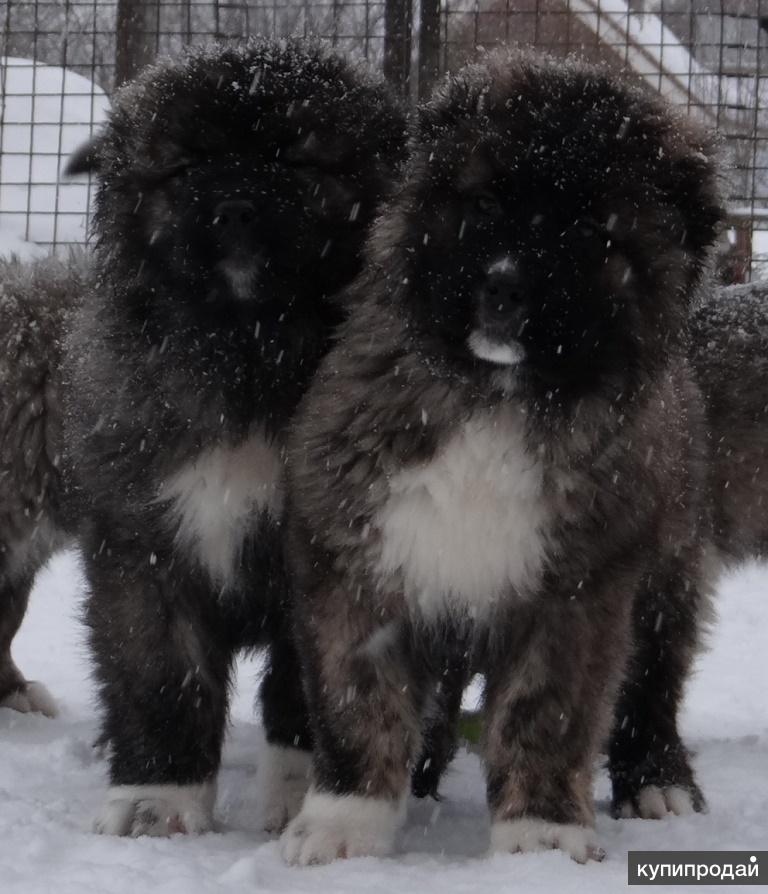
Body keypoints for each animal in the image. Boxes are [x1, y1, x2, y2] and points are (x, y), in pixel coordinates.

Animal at [64, 38, 408, 840]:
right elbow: (160, 680)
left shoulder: (315, 561)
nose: (238, 207)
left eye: (301, 164)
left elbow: (301, 690)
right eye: (188, 167)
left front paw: (297, 794)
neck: (247, 354)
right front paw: (157, 797)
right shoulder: (144, 551)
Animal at [280, 50, 720, 868]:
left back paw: (659, 780)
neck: (496, 401)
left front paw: (541, 833)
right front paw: (344, 822)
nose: (504, 288)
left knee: (654, 683)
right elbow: (359, 700)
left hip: (667, 572)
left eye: (593, 231)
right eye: (481, 204)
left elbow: (547, 712)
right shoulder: (361, 556)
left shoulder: (577, 588)